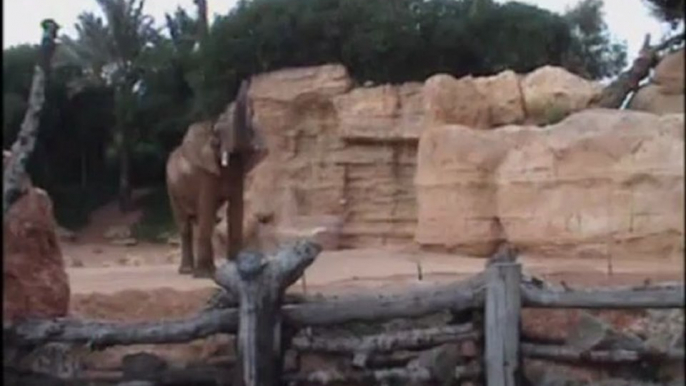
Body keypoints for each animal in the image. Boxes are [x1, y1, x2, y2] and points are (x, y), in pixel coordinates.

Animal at [165, 80, 268, 278]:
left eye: (251, 130)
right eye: (218, 133)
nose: (246, 82)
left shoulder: (237, 172)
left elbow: (236, 209)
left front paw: (237, 266)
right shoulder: (205, 174)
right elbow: (207, 207)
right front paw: (204, 275)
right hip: (172, 189)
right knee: (186, 225)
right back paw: (188, 271)